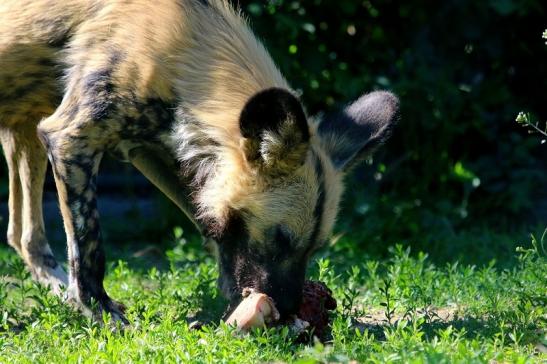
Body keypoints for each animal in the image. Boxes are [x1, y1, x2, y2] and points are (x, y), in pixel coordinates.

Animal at [1, 0, 398, 322]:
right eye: (280, 239)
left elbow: (209, 223)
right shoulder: (70, 139)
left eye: (315, 247)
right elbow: (89, 246)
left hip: (23, 130)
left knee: (23, 235)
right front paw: (100, 310)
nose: (287, 309)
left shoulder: (154, 150)